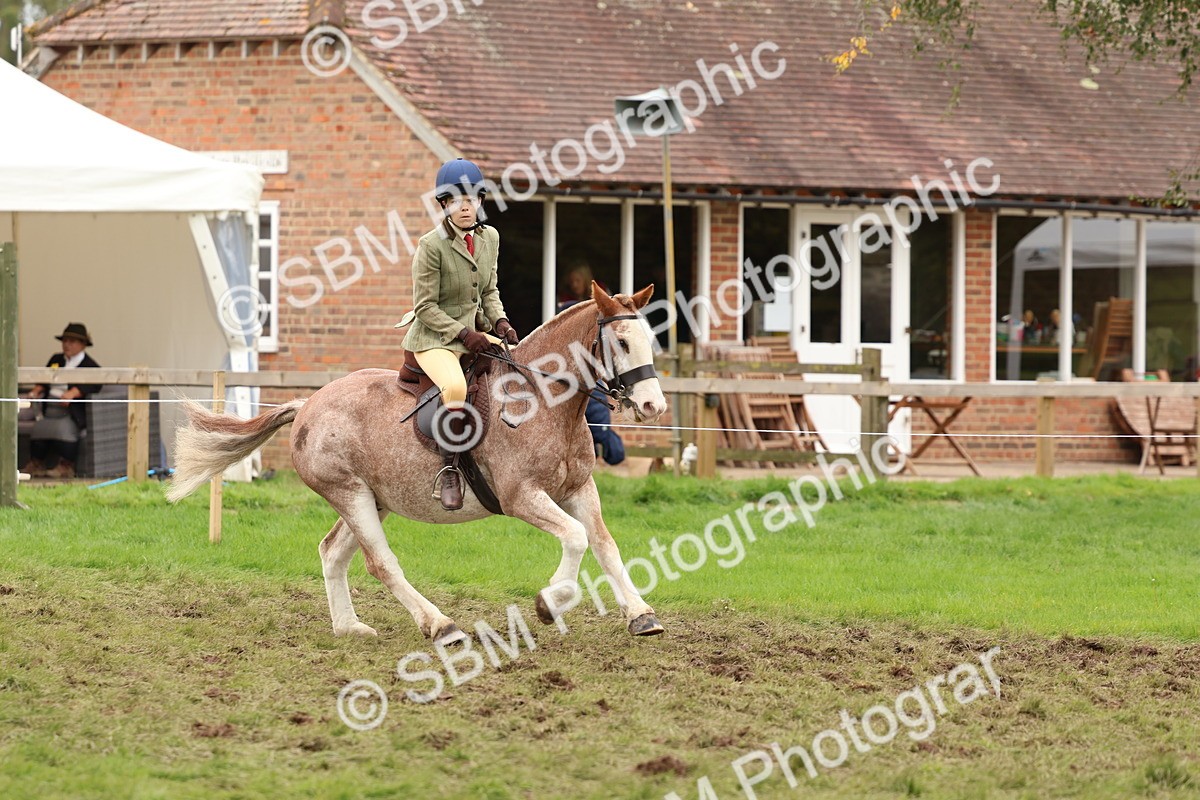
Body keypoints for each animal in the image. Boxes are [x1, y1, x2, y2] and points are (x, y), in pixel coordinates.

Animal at [166, 283, 669, 644]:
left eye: (650, 340)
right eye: (621, 342)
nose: (652, 406)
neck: (541, 400)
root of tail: (307, 404)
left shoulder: (579, 488)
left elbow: (604, 545)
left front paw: (641, 616)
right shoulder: (522, 497)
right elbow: (577, 538)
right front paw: (550, 603)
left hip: (372, 498)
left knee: (333, 552)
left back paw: (349, 627)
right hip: (349, 493)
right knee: (380, 562)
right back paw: (440, 625)